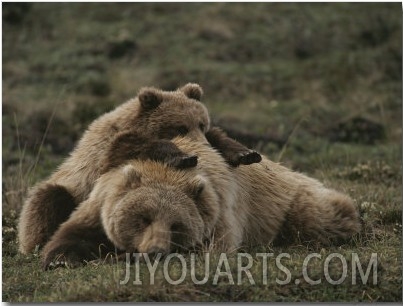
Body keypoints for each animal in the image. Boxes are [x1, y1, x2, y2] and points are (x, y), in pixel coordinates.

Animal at [18, 83, 262, 253]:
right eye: (180, 127)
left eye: (202, 123)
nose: (202, 147)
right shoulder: (105, 151)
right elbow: (133, 146)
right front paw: (184, 157)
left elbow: (221, 138)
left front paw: (245, 153)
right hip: (68, 188)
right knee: (48, 199)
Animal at [41, 137, 362, 268]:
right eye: (143, 217)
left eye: (176, 224)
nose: (155, 250)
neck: (164, 170)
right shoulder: (100, 201)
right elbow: (71, 236)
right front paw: (62, 259)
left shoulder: (218, 212)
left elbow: (208, 252)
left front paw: (120, 256)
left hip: (289, 202)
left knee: (318, 216)